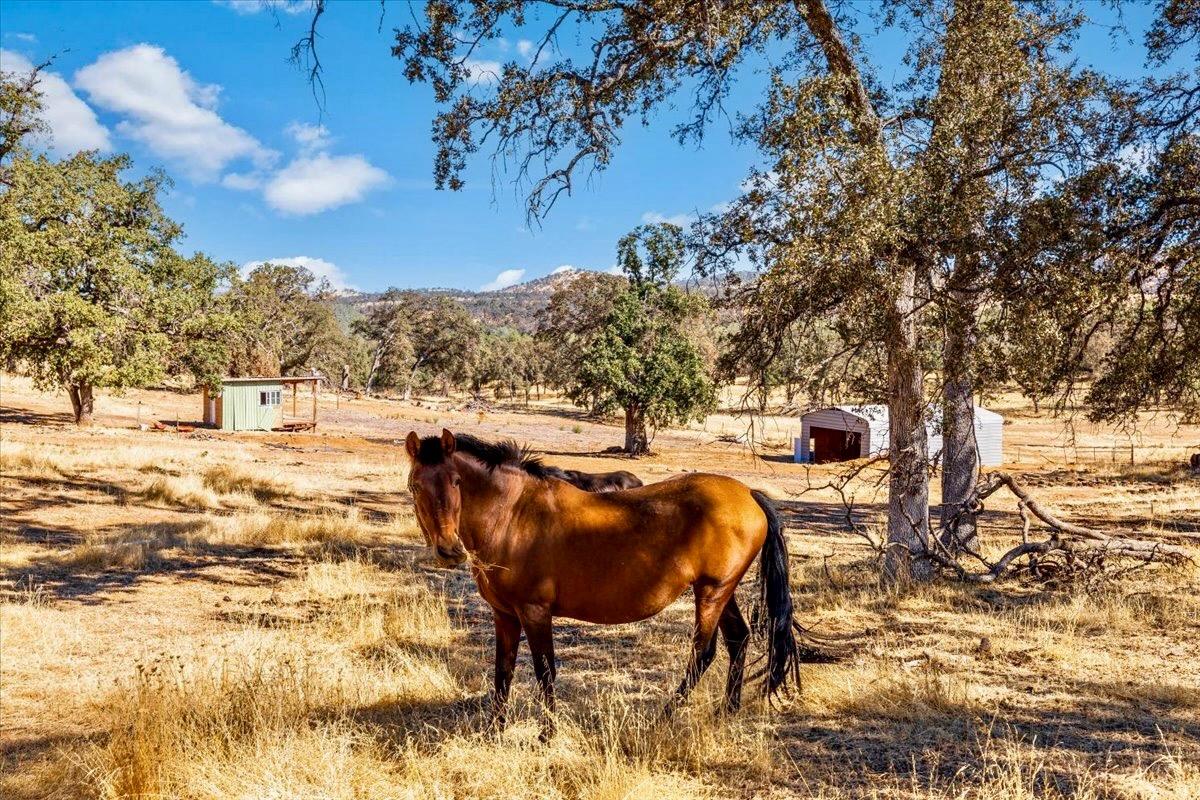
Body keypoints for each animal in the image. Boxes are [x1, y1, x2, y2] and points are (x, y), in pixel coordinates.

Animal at [403, 431, 806, 738]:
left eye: (457, 482)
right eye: (415, 486)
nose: (449, 550)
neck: (513, 514)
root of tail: (748, 494)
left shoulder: (535, 613)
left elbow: (545, 671)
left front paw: (547, 735)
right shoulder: (505, 615)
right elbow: (503, 672)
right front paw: (494, 731)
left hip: (711, 593)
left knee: (703, 654)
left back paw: (664, 718)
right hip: (720, 591)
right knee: (738, 639)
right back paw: (726, 712)